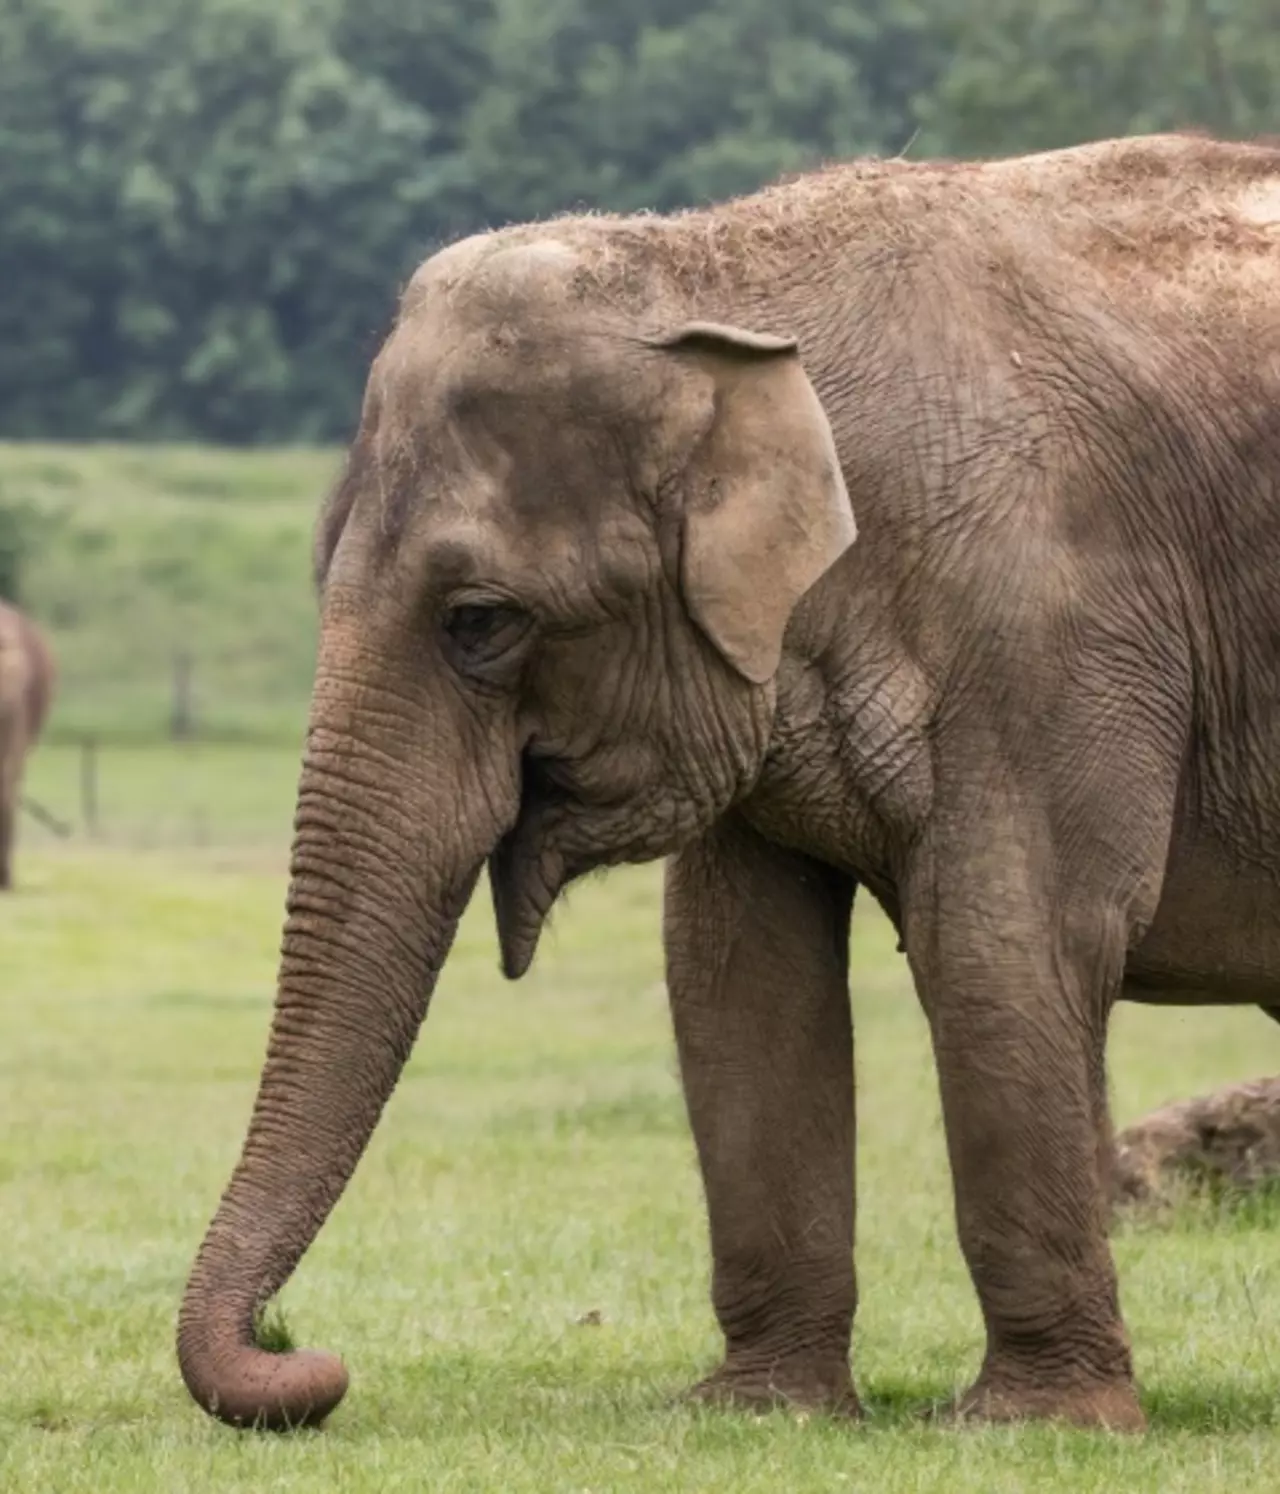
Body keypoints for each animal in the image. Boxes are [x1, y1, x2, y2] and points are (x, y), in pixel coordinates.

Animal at [176, 137, 1278, 1434]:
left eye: (479, 622)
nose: (303, 1354)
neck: (707, 269)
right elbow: (734, 969)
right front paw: (758, 1410)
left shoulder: (1050, 618)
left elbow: (1007, 940)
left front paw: (1028, 1424)